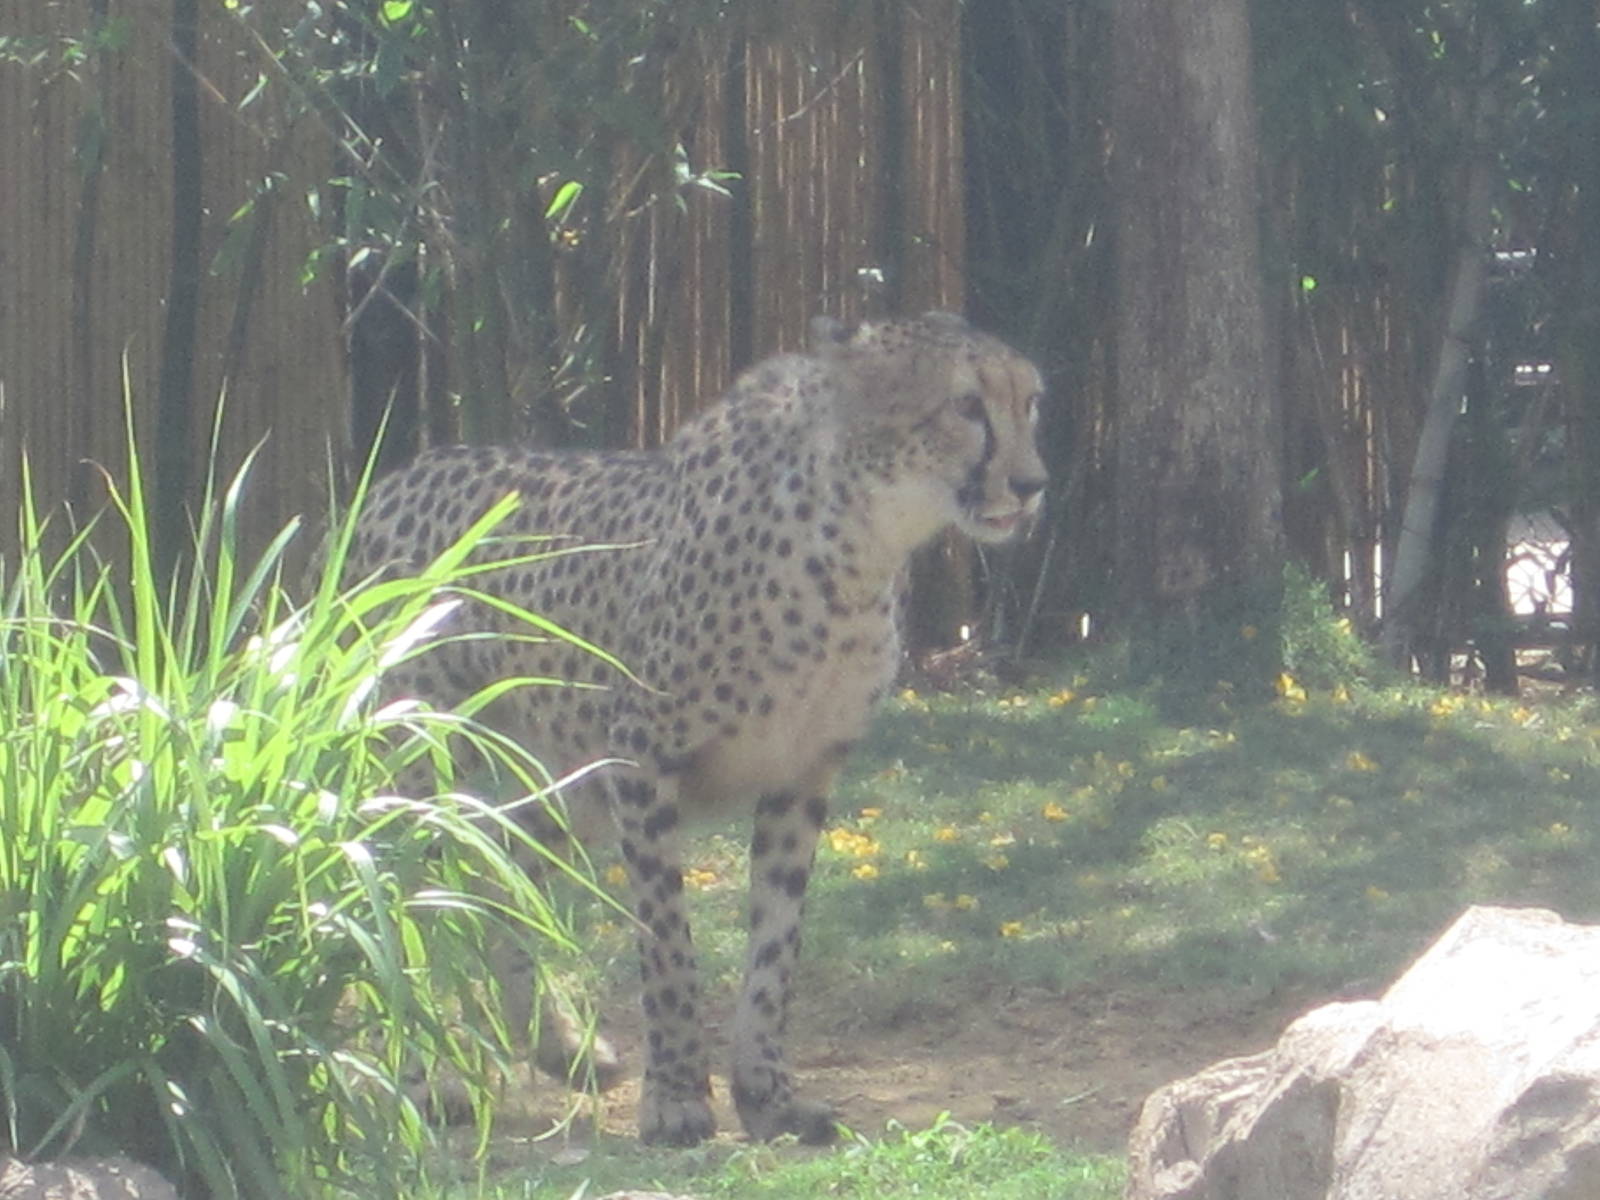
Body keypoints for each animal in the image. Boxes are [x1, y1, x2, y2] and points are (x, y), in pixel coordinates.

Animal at [345, 311, 1048, 1146]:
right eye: (966, 405)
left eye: (1029, 403)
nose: (1033, 484)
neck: (857, 542)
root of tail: (396, 478)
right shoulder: (642, 757)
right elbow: (668, 944)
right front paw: (679, 1096)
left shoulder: (803, 769)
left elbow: (776, 949)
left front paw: (768, 1096)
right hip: (419, 762)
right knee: (384, 893)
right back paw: (421, 1084)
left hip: (568, 778)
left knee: (496, 861)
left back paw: (556, 1045)